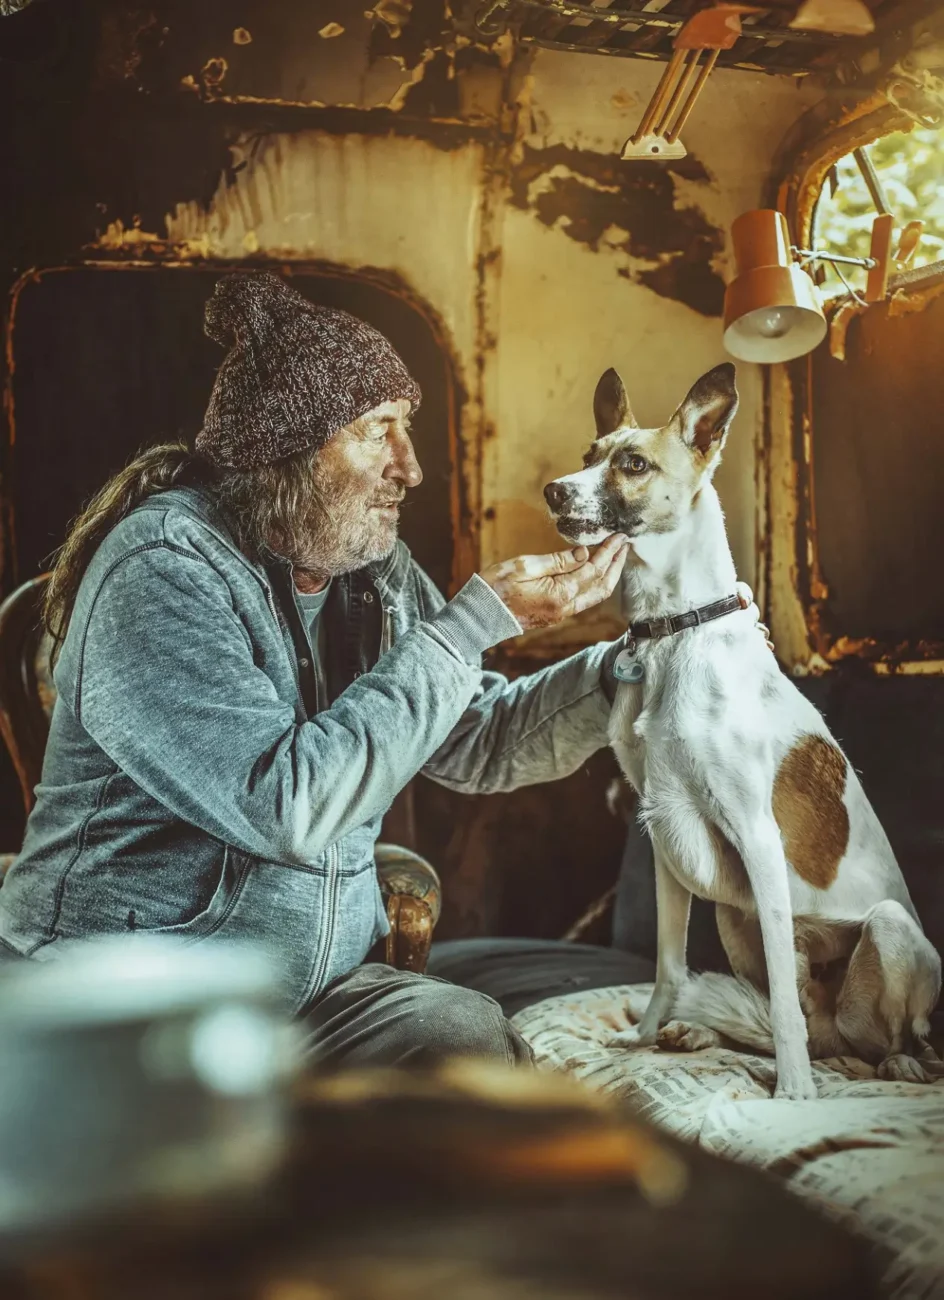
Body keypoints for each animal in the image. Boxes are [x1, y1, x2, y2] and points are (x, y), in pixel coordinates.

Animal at [543, 364, 941, 1097]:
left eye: (633, 464)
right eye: (589, 453)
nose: (554, 489)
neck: (671, 631)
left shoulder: (755, 835)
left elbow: (782, 999)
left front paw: (794, 1093)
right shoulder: (664, 835)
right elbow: (669, 965)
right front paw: (644, 1036)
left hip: (888, 928)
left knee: (893, 1038)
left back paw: (893, 1064)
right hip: (734, 915)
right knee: (817, 1029)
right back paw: (704, 1034)